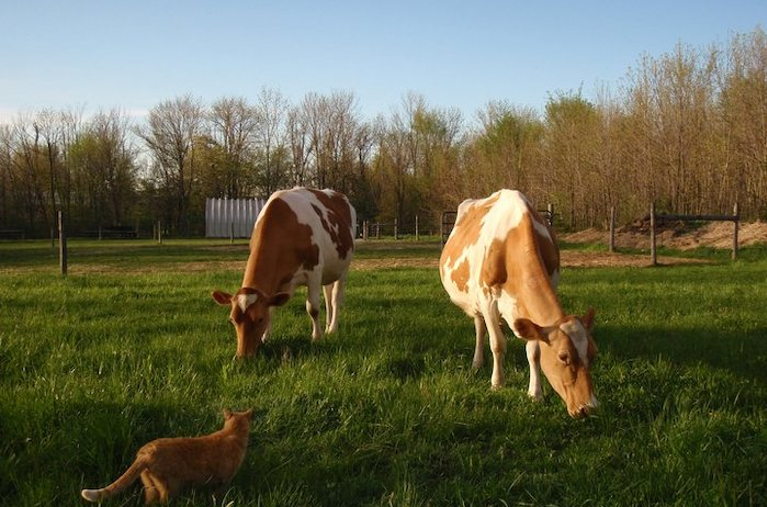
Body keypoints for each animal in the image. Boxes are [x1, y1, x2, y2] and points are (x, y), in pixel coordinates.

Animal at [212, 188, 356, 358]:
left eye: (260, 319)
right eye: (232, 320)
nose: (243, 356)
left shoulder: (314, 271)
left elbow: (312, 308)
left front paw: (316, 337)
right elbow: (272, 307)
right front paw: (266, 337)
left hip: (343, 268)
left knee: (335, 298)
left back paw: (332, 328)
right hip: (329, 270)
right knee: (327, 296)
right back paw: (327, 326)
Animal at [439, 189, 598, 418]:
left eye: (593, 354)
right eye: (563, 356)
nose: (590, 407)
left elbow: (534, 351)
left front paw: (535, 393)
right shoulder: (487, 299)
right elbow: (497, 344)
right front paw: (497, 384)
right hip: (475, 300)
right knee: (480, 327)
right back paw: (477, 363)